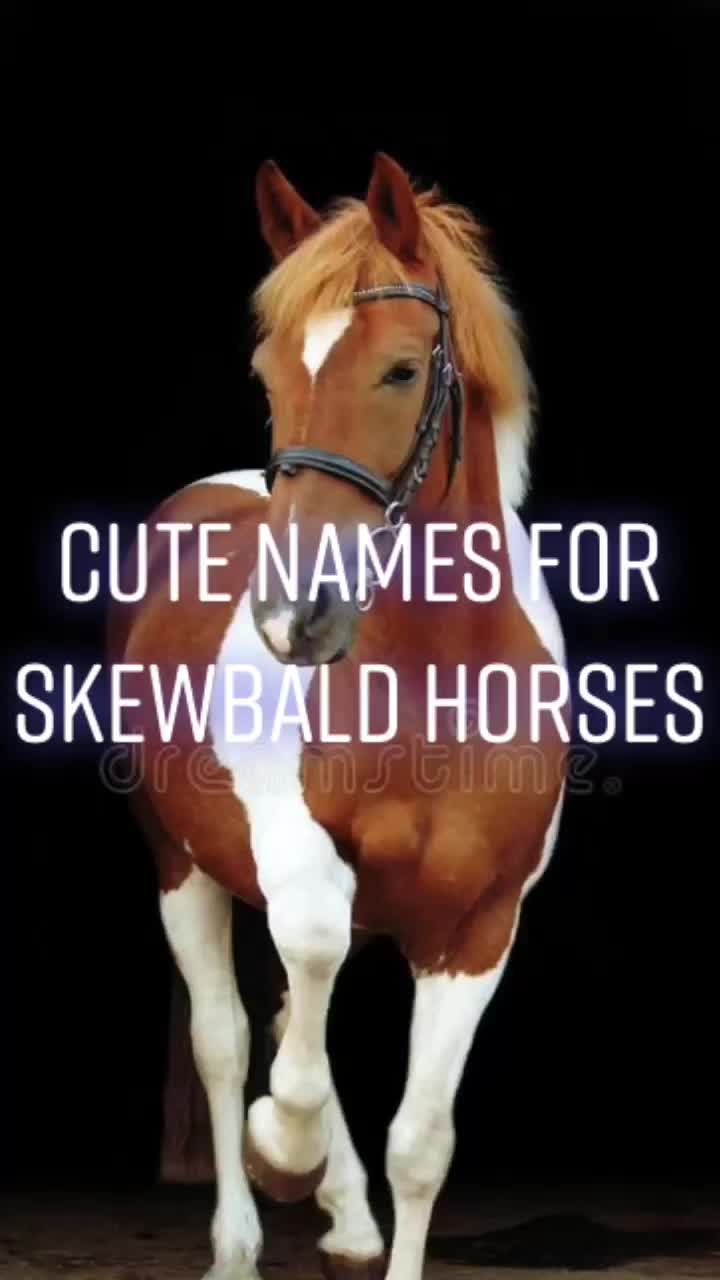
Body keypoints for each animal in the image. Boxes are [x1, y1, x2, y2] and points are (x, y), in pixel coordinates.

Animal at [109, 151, 567, 1280]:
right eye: (268, 373)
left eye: (402, 370)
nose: (292, 615)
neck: (436, 681)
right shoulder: (295, 863)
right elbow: (304, 966)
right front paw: (284, 1147)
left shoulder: (479, 925)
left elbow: (421, 1145)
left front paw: (358, 1207)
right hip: (181, 866)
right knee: (229, 1037)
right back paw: (244, 1228)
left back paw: (349, 1218)